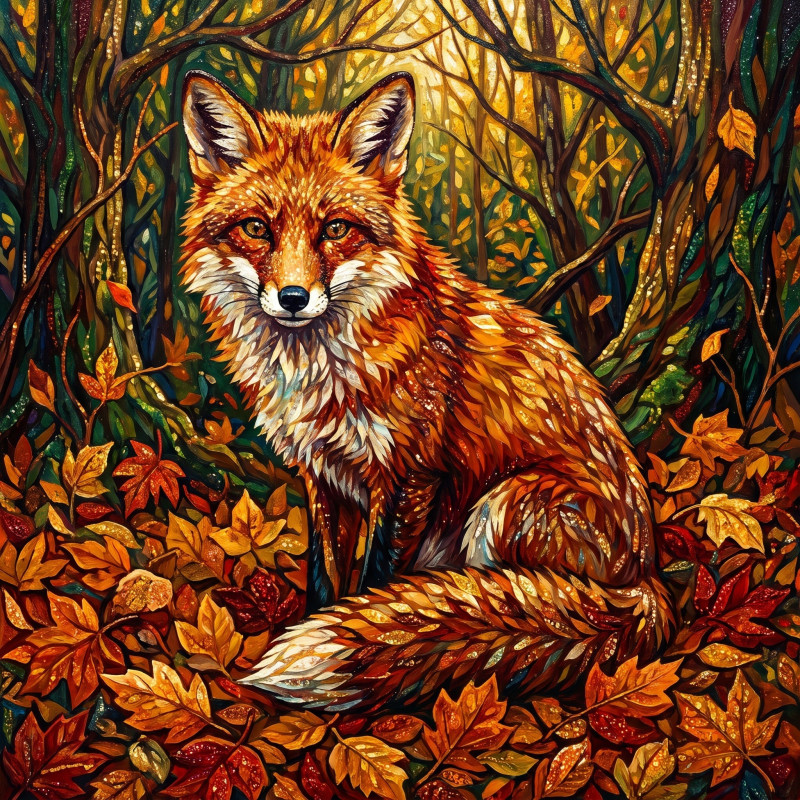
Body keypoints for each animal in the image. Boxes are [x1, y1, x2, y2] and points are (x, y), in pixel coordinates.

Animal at [180, 70, 674, 712]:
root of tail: (647, 578)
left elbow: (375, 582)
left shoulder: (410, 473)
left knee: (519, 594)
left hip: (505, 503)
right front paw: (324, 623)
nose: (292, 298)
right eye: (257, 229)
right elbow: (325, 577)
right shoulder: (322, 474)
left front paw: (373, 637)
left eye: (335, 229)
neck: (324, 372)